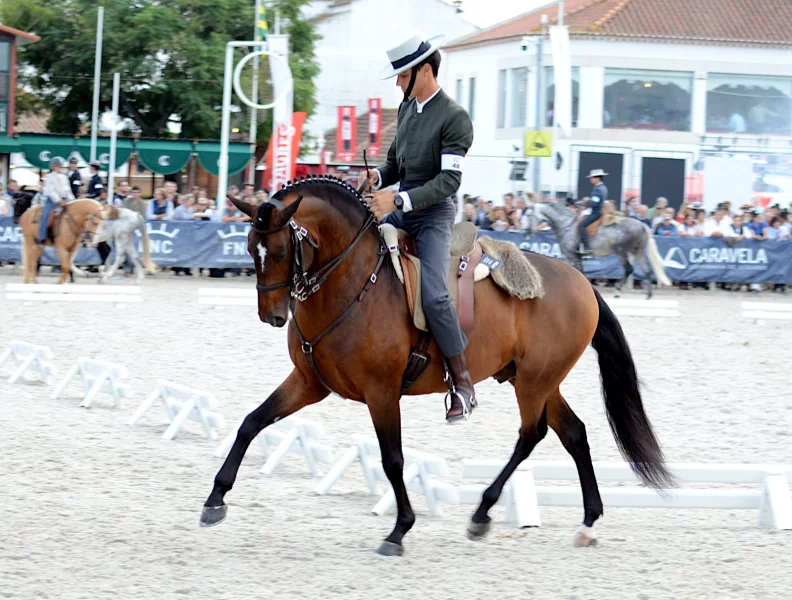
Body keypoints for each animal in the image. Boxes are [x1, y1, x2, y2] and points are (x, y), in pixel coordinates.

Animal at [528, 200, 672, 298]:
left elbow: (579, 273)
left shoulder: (573, 255)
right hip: (638, 251)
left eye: (530, 214)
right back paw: (649, 295)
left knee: (629, 269)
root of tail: (642, 224)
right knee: (647, 271)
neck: (566, 225)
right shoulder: (572, 256)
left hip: (621, 251)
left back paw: (618, 290)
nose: (526, 231)